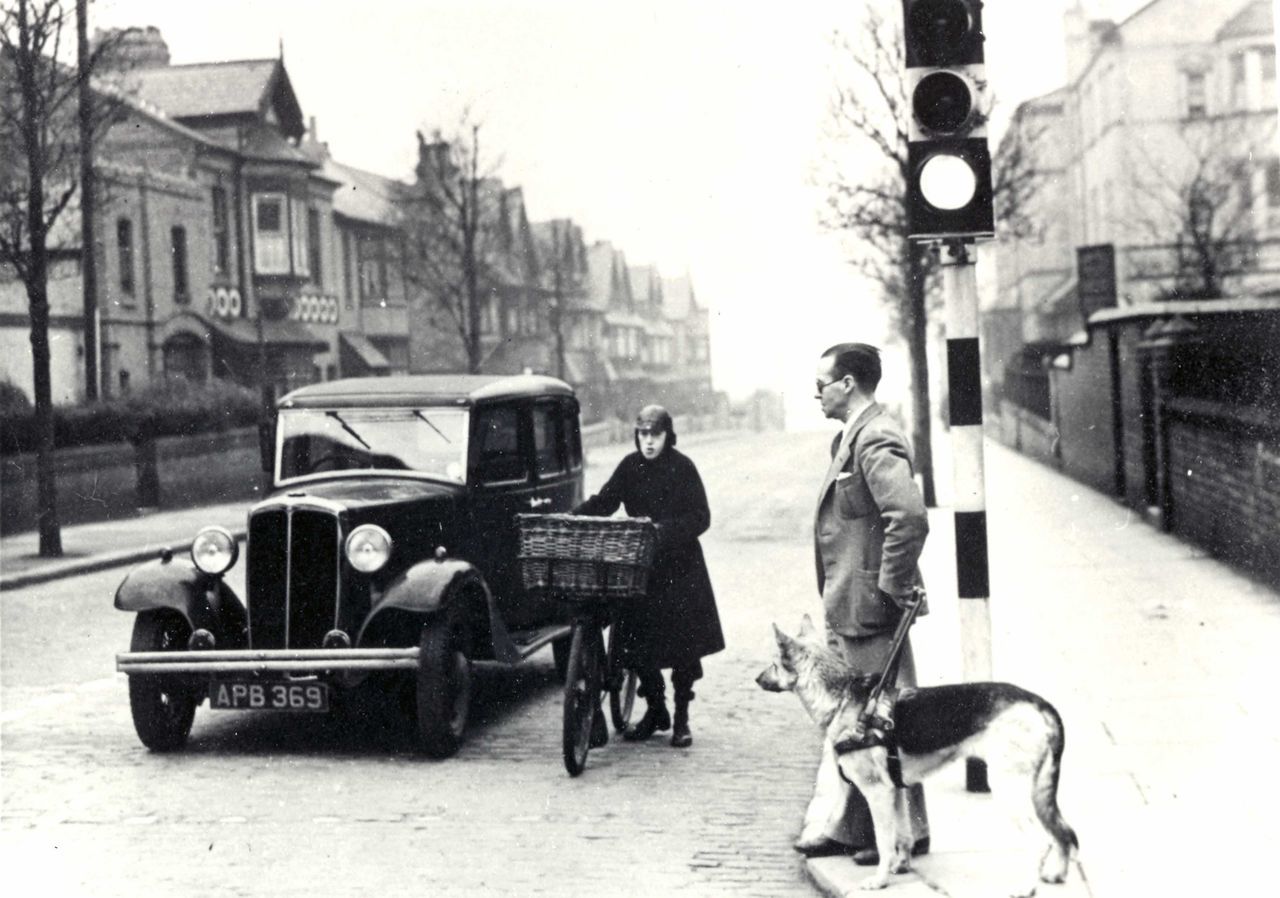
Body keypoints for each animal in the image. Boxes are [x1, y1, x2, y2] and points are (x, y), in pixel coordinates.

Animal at [752, 619, 1075, 898]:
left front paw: (880, 880)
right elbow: (902, 836)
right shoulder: (894, 791)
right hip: (1036, 793)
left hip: (1009, 791)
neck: (843, 699)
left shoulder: (877, 793)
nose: (756, 679)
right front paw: (901, 866)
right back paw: (1056, 875)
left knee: (1042, 842)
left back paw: (1026, 888)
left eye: (773, 663)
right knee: (1063, 834)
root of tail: (1039, 703)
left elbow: (884, 841)